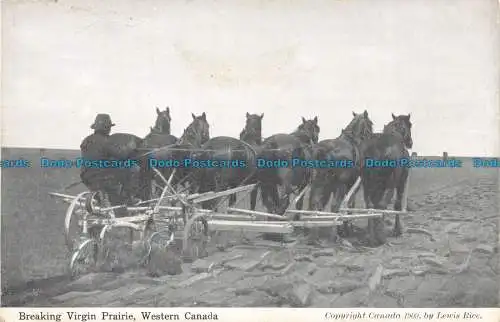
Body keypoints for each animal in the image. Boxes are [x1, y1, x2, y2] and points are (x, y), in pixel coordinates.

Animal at [308, 111, 376, 239]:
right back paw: (334, 234)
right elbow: (349, 204)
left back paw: (314, 232)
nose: (372, 136)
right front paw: (347, 228)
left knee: (315, 203)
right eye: (370, 123)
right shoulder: (352, 184)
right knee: (334, 206)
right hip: (339, 184)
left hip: (318, 182)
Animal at [362, 114, 412, 247]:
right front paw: (397, 230)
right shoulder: (401, 182)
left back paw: (370, 236)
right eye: (410, 125)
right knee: (382, 204)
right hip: (390, 183)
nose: (410, 142)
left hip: (367, 183)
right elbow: (397, 205)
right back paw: (381, 236)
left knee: (370, 205)